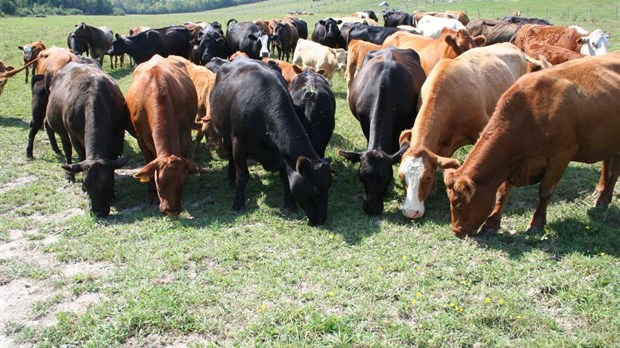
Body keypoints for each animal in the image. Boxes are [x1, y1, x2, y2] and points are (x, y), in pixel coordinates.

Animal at [44, 61, 128, 216]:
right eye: (85, 183)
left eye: (108, 183)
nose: (98, 211)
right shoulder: (75, 138)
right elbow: (81, 156)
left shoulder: (118, 137)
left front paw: (113, 195)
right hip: (64, 133)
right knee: (67, 150)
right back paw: (69, 175)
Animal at [126, 54, 206, 215]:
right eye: (160, 182)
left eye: (182, 182)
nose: (172, 210)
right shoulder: (141, 139)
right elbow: (149, 163)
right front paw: (151, 195)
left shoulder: (184, 132)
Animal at [209, 57, 334, 226]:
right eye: (315, 188)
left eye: (329, 187)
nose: (322, 219)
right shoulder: (239, 145)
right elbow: (243, 176)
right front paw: (238, 203)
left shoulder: (281, 155)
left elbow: (286, 179)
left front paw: (289, 205)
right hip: (225, 133)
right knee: (229, 156)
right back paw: (231, 178)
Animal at [444, 51, 620, 237]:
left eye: (459, 204)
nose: (456, 231)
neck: (530, 112)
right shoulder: (514, 163)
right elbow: (502, 193)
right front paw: (492, 223)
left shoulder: (560, 156)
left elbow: (545, 192)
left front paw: (537, 223)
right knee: (608, 164)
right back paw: (600, 192)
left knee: (615, 172)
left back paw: (603, 199)